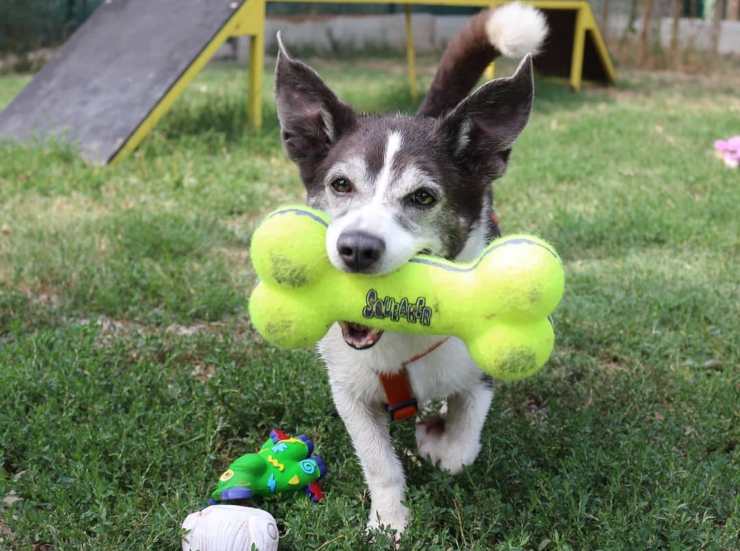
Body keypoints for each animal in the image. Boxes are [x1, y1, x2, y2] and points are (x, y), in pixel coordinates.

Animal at [274, 0, 548, 536]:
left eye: (422, 197)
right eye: (341, 185)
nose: (357, 248)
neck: (400, 328)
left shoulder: (479, 369)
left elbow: (462, 444)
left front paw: (435, 442)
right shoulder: (349, 388)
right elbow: (378, 460)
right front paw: (389, 521)